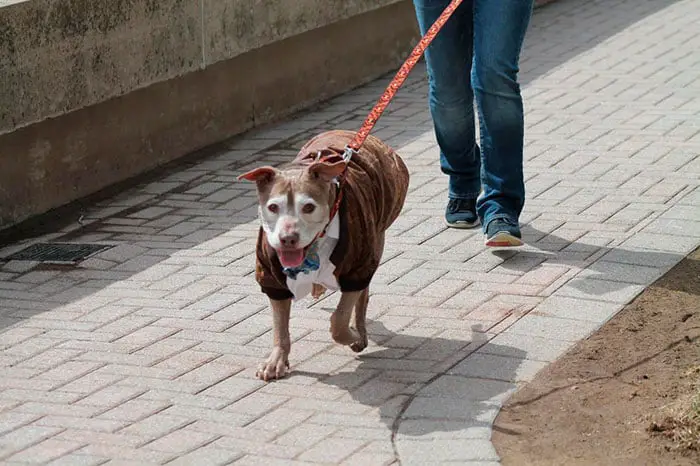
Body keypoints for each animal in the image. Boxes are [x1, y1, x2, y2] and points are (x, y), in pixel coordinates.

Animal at [238, 129, 408, 380]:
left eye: (308, 207)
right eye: (273, 207)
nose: (288, 238)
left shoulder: (356, 269)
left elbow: (339, 319)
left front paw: (351, 335)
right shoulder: (270, 274)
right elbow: (280, 326)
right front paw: (276, 360)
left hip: (375, 240)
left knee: (363, 295)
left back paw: (360, 331)